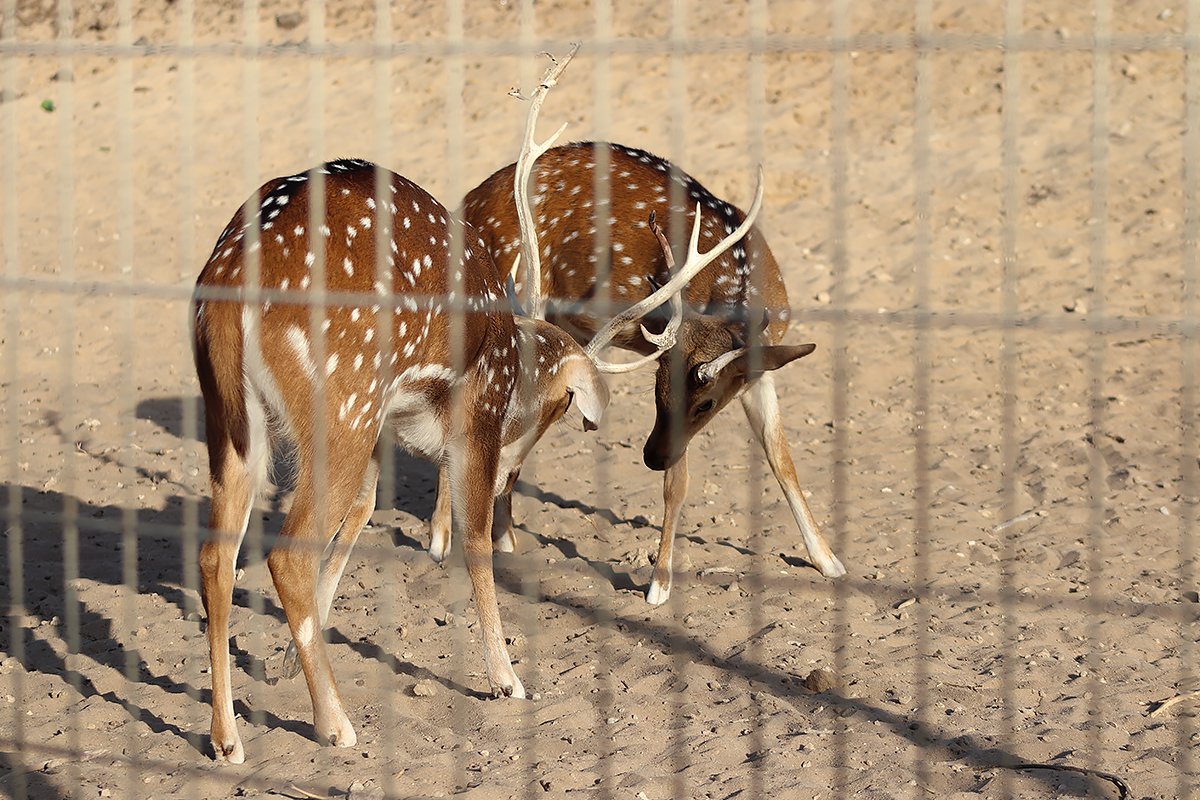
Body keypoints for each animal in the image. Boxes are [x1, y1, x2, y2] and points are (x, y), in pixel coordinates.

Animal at [196, 160, 609, 762]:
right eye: (560, 408)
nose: (510, 476)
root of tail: (229, 288)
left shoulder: (386, 429)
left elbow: (364, 512)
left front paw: (281, 663)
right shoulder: (478, 413)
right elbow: (475, 539)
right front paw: (507, 681)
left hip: (233, 422)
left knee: (215, 556)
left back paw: (227, 739)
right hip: (345, 406)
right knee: (286, 555)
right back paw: (336, 724)